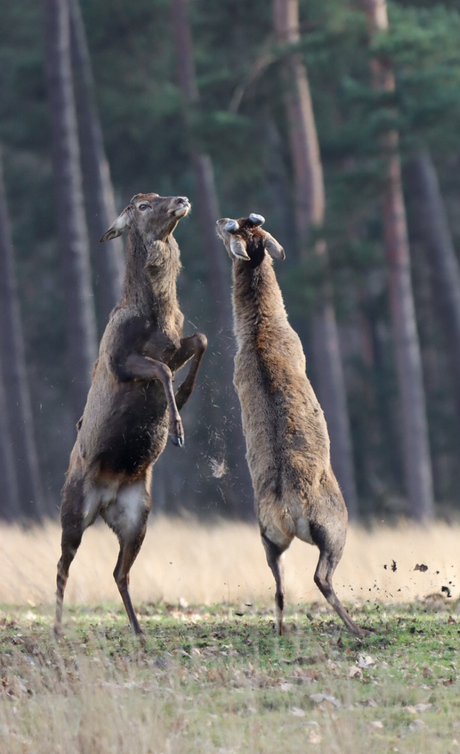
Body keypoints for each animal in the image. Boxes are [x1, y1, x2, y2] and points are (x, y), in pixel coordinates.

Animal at [53, 192, 208, 636]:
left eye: (155, 196)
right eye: (140, 205)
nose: (181, 199)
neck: (156, 314)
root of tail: (106, 499)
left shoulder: (175, 344)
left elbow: (201, 339)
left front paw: (183, 400)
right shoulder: (121, 360)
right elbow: (162, 371)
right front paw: (176, 428)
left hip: (138, 515)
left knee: (118, 572)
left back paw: (139, 631)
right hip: (73, 508)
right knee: (62, 565)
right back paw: (56, 629)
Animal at [217, 212, 366, 636]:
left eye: (245, 223)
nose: (219, 219)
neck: (259, 328)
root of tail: (287, 509)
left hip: (267, 535)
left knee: (280, 586)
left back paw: (281, 629)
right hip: (335, 526)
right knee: (322, 576)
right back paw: (359, 628)